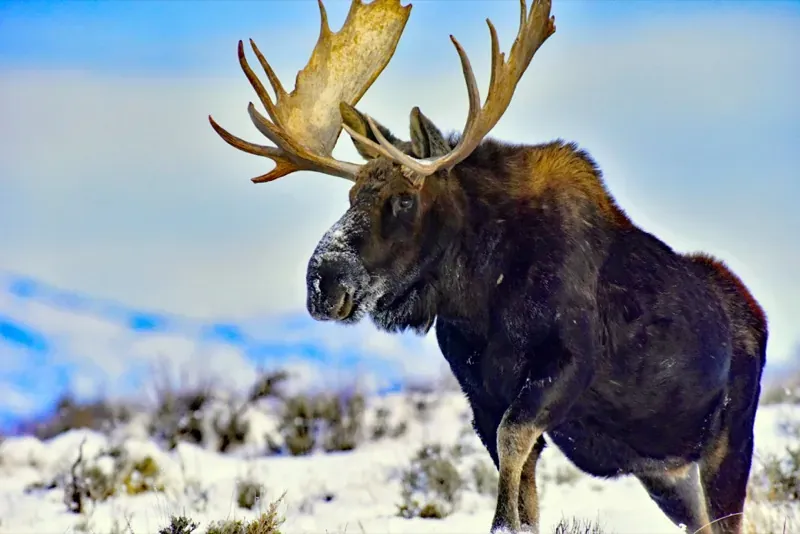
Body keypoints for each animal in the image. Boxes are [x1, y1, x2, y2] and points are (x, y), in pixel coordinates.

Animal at [207, 0, 768, 533]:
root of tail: (756, 316)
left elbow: (512, 445)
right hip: (665, 473)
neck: (481, 295)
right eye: (351, 194)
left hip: (729, 441)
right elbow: (522, 483)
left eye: (405, 198)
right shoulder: (478, 392)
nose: (323, 283)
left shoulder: (565, 366)